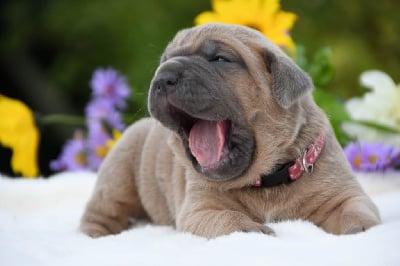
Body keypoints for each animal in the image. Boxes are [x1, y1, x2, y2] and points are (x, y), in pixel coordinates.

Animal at [79, 23, 380, 239]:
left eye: (220, 59)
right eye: (164, 60)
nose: (163, 76)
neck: (268, 181)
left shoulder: (343, 192)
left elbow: (356, 208)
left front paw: (362, 228)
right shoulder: (200, 209)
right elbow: (226, 219)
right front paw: (251, 230)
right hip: (117, 176)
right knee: (101, 214)